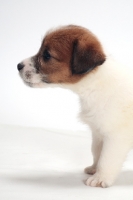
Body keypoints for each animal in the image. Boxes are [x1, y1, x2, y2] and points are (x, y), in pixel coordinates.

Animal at [17, 25, 133, 188]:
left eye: (46, 55)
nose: (18, 66)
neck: (95, 83)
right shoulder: (98, 132)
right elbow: (97, 152)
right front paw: (94, 169)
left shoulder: (116, 137)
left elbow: (107, 159)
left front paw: (100, 178)